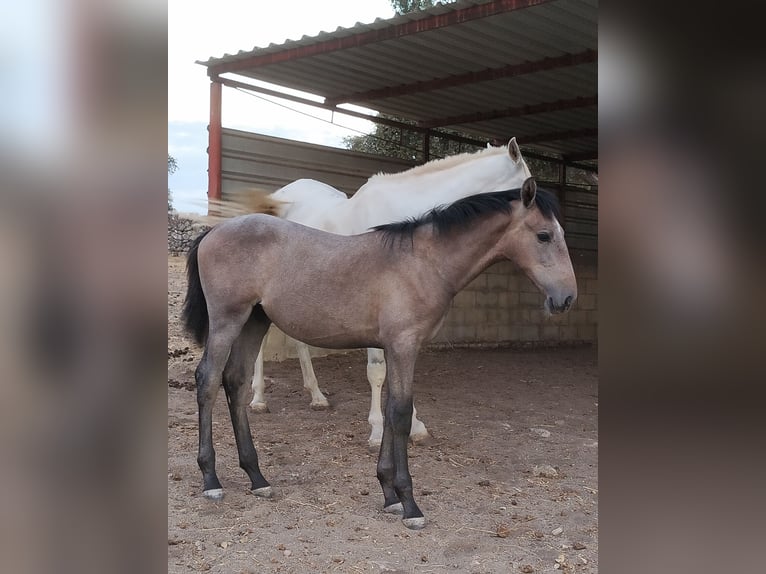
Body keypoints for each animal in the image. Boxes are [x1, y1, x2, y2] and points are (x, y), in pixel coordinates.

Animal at [182, 177, 576, 529]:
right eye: (544, 235)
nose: (567, 298)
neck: (423, 262)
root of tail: (213, 232)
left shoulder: (394, 347)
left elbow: (388, 409)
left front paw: (388, 495)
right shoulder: (403, 345)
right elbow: (400, 413)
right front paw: (409, 504)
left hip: (254, 321)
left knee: (236, 382)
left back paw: (257, 477)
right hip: (227, 320)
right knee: (208, 380)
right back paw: (211, 480)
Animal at [248, 138, 535, 448]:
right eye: (528, 190)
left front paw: (416, 426)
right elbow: (378, 370)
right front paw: (376, 430)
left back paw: (317, 397)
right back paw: (258, 399)